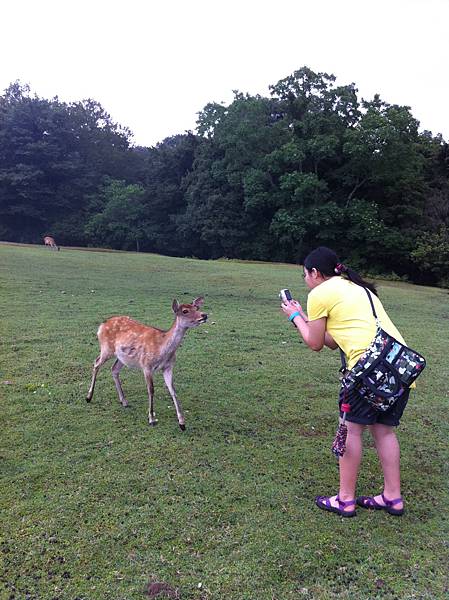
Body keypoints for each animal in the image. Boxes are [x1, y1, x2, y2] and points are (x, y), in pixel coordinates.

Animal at [86, 298, 206, 428]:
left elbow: (173, 390)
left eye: (197, 308)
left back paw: (124, 401)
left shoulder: (168, 367)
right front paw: (151, 419)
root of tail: (101, 325)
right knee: (96, 363)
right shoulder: (146, 365)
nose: (204, 315)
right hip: (106, 348)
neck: (162, 350)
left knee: (114, 369)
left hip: (122, 357)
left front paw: (182, 422)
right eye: (185, 311)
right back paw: (88, 397)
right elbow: (151, 390)